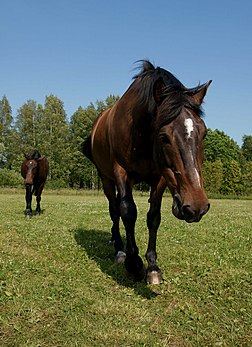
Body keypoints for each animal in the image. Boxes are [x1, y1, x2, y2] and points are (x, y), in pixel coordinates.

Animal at [82, 61, 211, 284]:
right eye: (164, 136)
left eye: (203, 133)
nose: (197, 207)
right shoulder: (121, 172)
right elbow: (128, 211)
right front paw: (134, 264)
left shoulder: (159, 179)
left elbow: (153, 218)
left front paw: (152, 266)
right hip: (106, 179)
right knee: (114, 210)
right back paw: (119, 249)